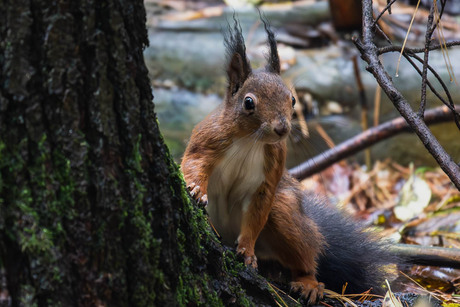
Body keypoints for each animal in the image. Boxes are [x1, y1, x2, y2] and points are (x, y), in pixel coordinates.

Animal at [181, 16, 394, 304]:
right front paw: (195, 189)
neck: (250, 141)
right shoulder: (208, 139)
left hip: (286, 213)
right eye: (248, 103)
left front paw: (247, 250)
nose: (282, 129)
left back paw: (307, 282)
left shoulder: (271, 171)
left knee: (305, 255)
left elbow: (258, 210)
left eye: (292, 99)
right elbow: (194, 162)